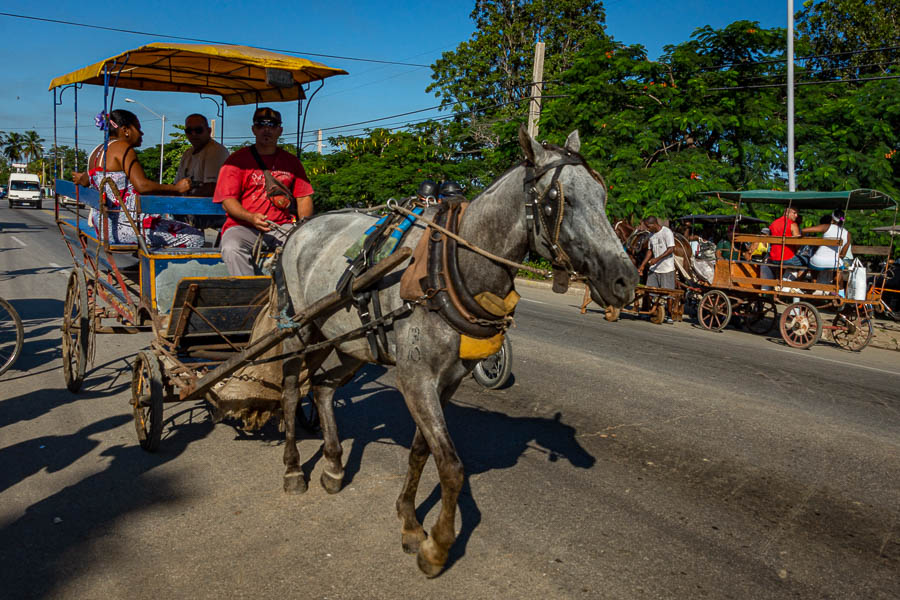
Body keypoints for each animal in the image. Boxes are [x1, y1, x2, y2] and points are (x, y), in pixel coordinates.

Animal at [278, 126, 636, 576]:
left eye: (602, 196)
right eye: (560, 199)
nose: (626, 280)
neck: (451, 266)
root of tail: (302, 227)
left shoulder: (446, 382)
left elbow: (421, 451)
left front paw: (410, 522)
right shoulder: (415, 379)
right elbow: (450, 466)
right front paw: (437, 546)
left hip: (349, 343)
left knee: (323, 387)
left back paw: (332, 465)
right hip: (299, 329)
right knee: (292, 391)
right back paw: (293, 469)